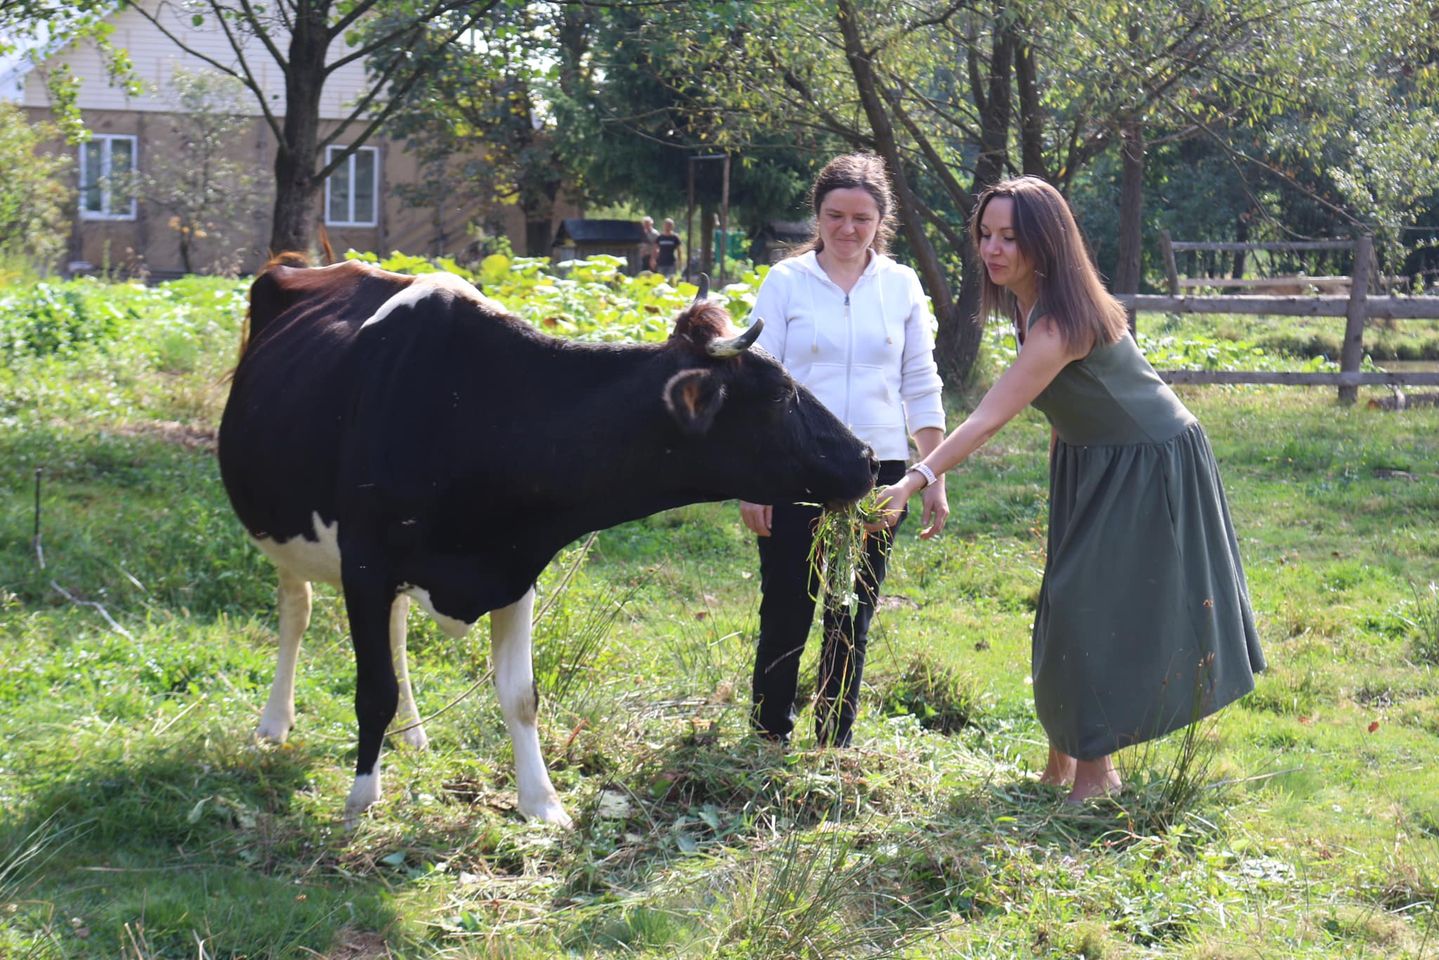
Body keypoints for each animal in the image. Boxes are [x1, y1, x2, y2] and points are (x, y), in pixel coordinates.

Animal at [218, 260, 874, 829]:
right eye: (781, 394)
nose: (868, 458)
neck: (480, 415)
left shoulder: (515, 566)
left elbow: (520, 696)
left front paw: (542, 803)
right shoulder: (366, 564)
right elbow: (371, 690)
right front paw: (361, 802)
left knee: (397, 631)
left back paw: (414, 734)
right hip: (282, 528)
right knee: (297, 610)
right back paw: (275, 723)